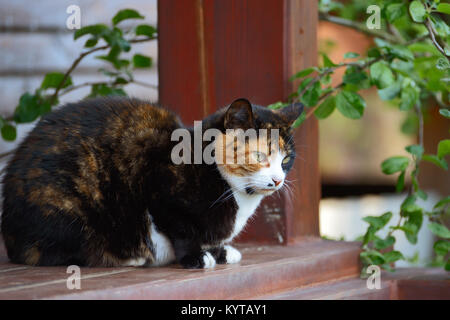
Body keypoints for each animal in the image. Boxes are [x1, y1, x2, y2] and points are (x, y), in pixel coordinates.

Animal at [0, 97, 302, 268]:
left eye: (286, 159)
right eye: (259, 155)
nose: (278, 180)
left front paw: (220, 252)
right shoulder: (158, 188)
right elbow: (181, 230)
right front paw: (195, 257)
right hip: (66, 211)